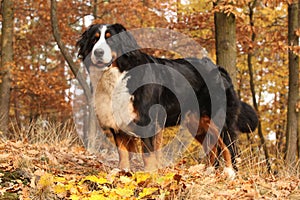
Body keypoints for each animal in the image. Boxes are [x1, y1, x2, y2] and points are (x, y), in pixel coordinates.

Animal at [75, 23, 258, 180]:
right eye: (94, 40)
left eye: (110, 38)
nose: (98, 52)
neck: (119, 74)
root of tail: (219, 68)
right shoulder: (119, 122)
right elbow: (123, 153)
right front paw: (123, 173)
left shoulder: (148, 122)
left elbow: (148, 155)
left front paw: (148, 176)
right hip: (197, 123)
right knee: (212, 147)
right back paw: (208, 173)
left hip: (218, 118)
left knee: (229, 146)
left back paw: (230, 173)